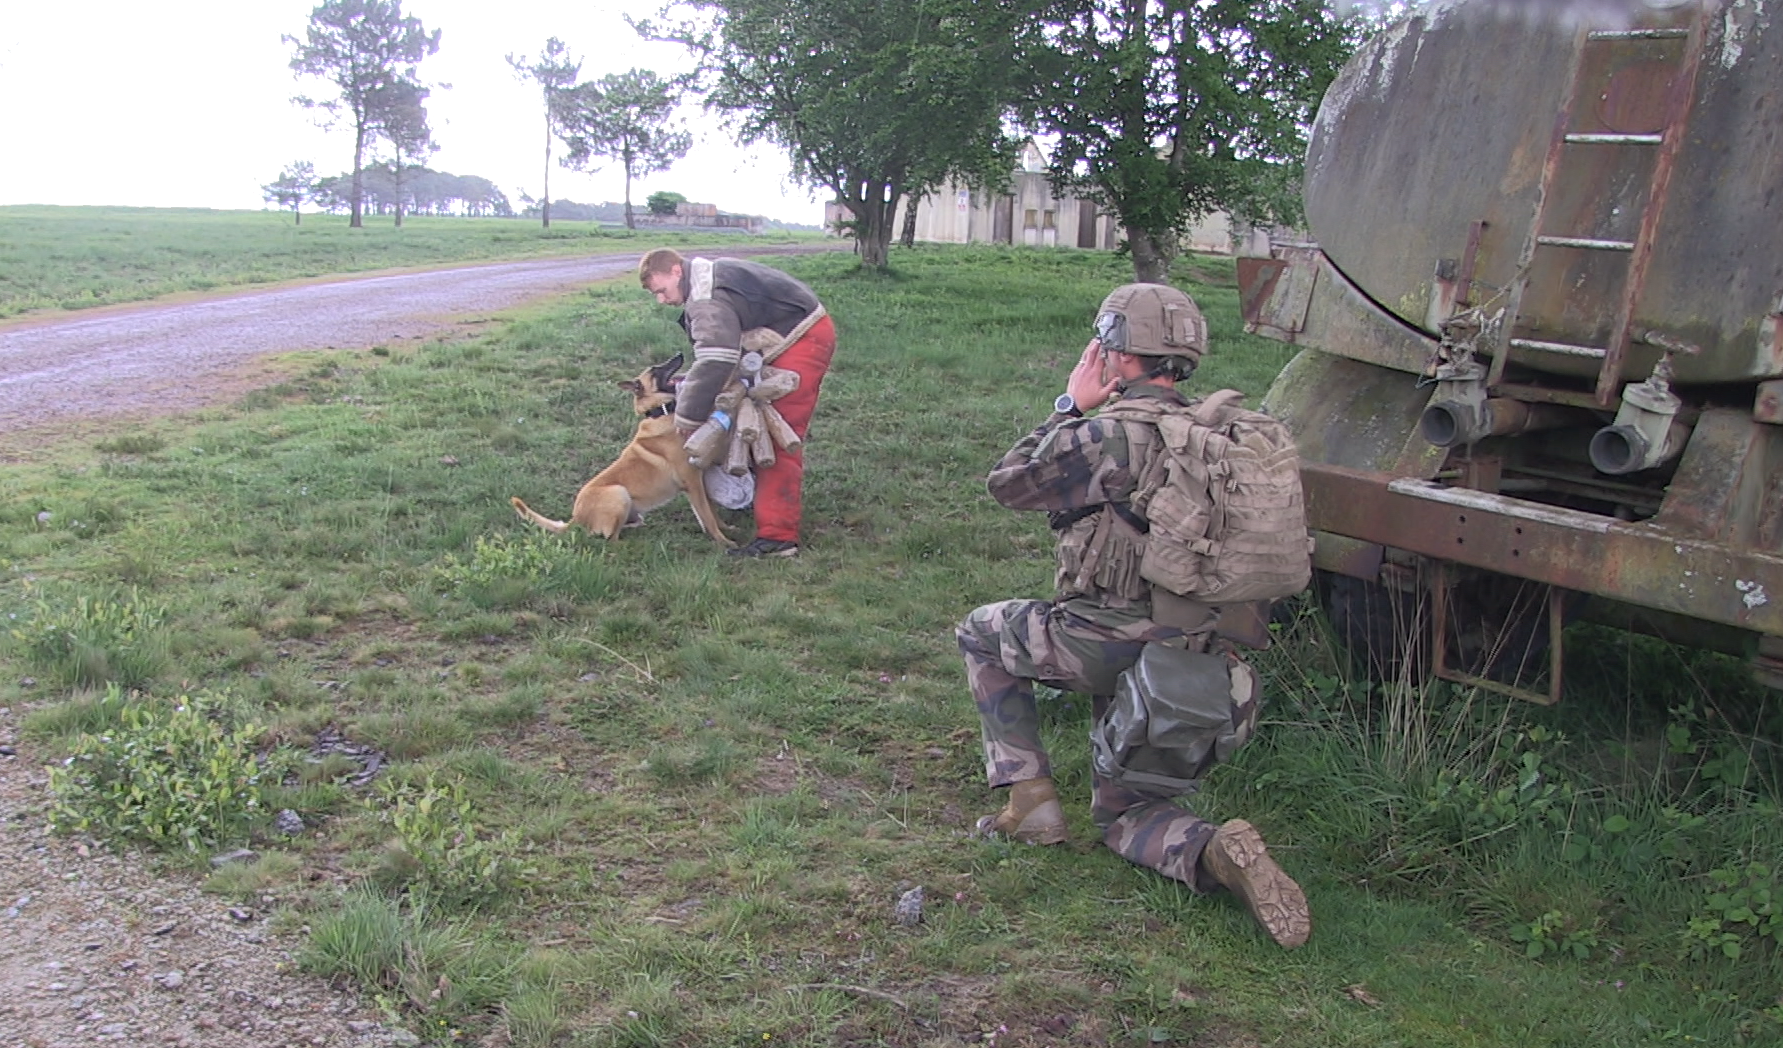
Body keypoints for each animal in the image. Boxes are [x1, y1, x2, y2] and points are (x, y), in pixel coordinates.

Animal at [510, 353, 735, 548]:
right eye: (655, 370)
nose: (679, 354)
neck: (661, 412)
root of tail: (575, 519)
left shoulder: (699, 478)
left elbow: (711, 511)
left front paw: (726, 529)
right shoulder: (693, 482)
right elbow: (707, 515)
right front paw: (724, 542)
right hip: (619, 493)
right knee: (611, 540)